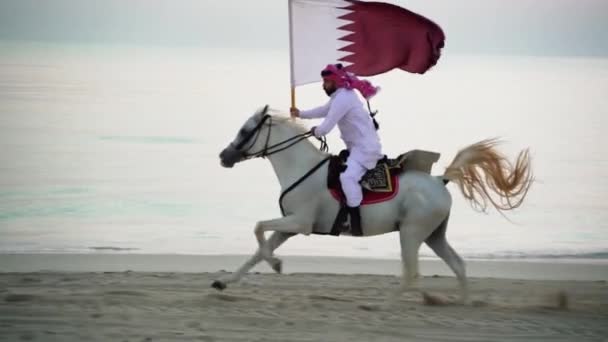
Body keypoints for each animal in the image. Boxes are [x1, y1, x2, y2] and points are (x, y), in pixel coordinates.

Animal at [215, 105, 532, 302]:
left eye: (245, 131)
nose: (223, 156)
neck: (301, 167)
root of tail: (440, 180)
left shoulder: (299, 223)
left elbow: (258, 228)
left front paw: (277, 264)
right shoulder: (288, 227)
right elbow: (258, 250)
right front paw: (226, 281)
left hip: (411, 234)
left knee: (412, 274)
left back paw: (387, 304)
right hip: (434, 236)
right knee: (458, 266)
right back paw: (462, 304)